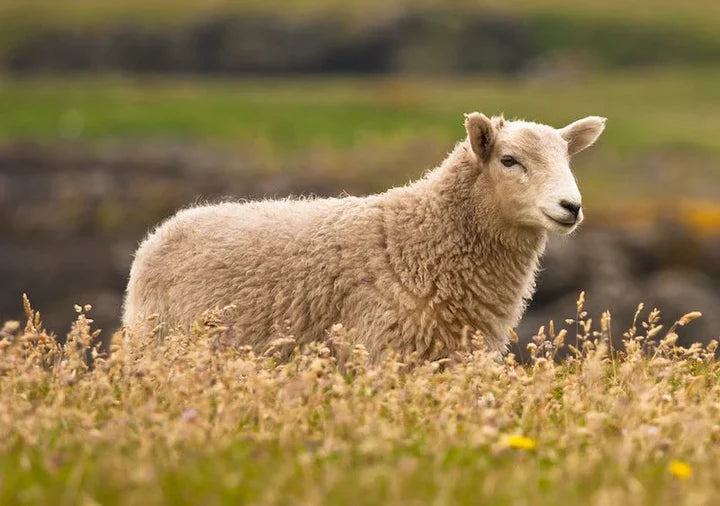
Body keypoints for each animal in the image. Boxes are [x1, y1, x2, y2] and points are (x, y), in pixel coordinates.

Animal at [122, 112, 606, 360]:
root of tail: (164, 230)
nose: (572, 207)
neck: (419, 239)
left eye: (567, 158)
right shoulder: (381, 351)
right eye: (509, 161)